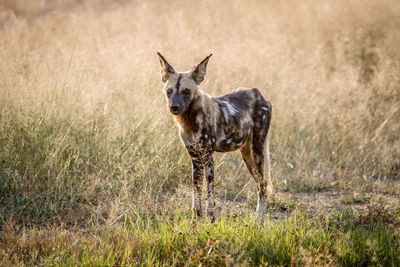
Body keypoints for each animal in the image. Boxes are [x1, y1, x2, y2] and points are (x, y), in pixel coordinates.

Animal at [156, 53, 272, 223]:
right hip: (247, 156)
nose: (174, 107)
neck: (190, 120)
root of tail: (260, 95)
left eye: (186, 91)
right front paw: (195, 220)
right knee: (260, 184)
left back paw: (259, 219)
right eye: (169, 91)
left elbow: (209, 193)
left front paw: (210, 217)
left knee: (263, 185)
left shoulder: (208, 159)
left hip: (257, 152)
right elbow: (196, 193)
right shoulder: (196, 160)